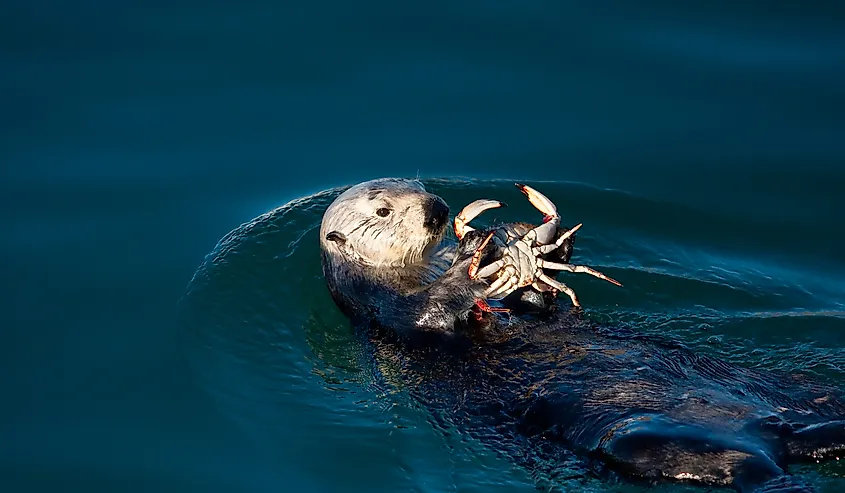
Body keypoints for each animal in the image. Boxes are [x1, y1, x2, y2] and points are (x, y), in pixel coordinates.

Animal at [320, 177, 845, 493]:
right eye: (383, 211)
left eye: (421, 186)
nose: (438, 208)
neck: (421, 270)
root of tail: (770, 434)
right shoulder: (380, 309)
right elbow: (426, 315)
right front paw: (474, 260)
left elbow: (540, 300)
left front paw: (511, 238)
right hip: (637, 439)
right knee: (741, 466)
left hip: (788, 391)